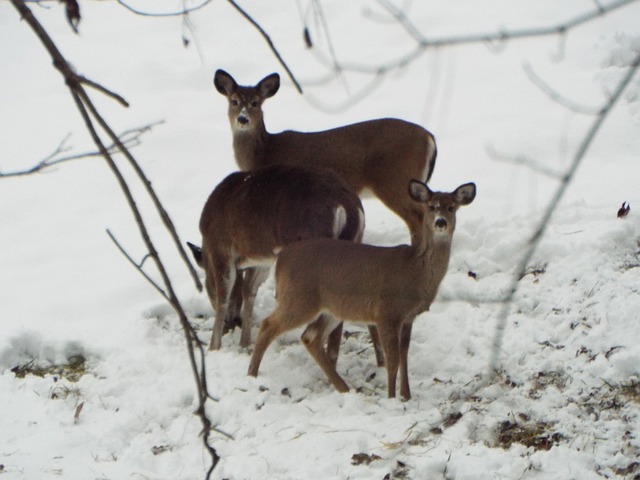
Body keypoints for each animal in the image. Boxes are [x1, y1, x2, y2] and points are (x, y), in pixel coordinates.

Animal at [199, 166, 364, 352]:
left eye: (207, 288)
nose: (232, 322)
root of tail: (346, 207)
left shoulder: (220, 247)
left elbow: (223, 296)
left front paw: (213, 348)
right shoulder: (261, 259)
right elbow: (249, 290)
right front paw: (244, 343)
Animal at [212, 69, 438, 246]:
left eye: (255, 103)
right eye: (234, 101)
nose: (243, 119)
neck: (264, 151)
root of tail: (429, 137)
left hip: (394, 180)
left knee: (417, 218)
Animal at [248, 178, 478, 400]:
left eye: (452, 207)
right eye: (431, 206)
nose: (441, 222)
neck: (415, 271)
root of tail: (281, 259)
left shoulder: (408, 317)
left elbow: (404, 355)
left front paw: (406, 396)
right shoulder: (386, 312)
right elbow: (392, 359)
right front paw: (392, 398)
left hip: (331, 308)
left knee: (309, 337)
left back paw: (344, 388)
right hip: (299, 298)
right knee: (268, 324)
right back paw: (252, 374)